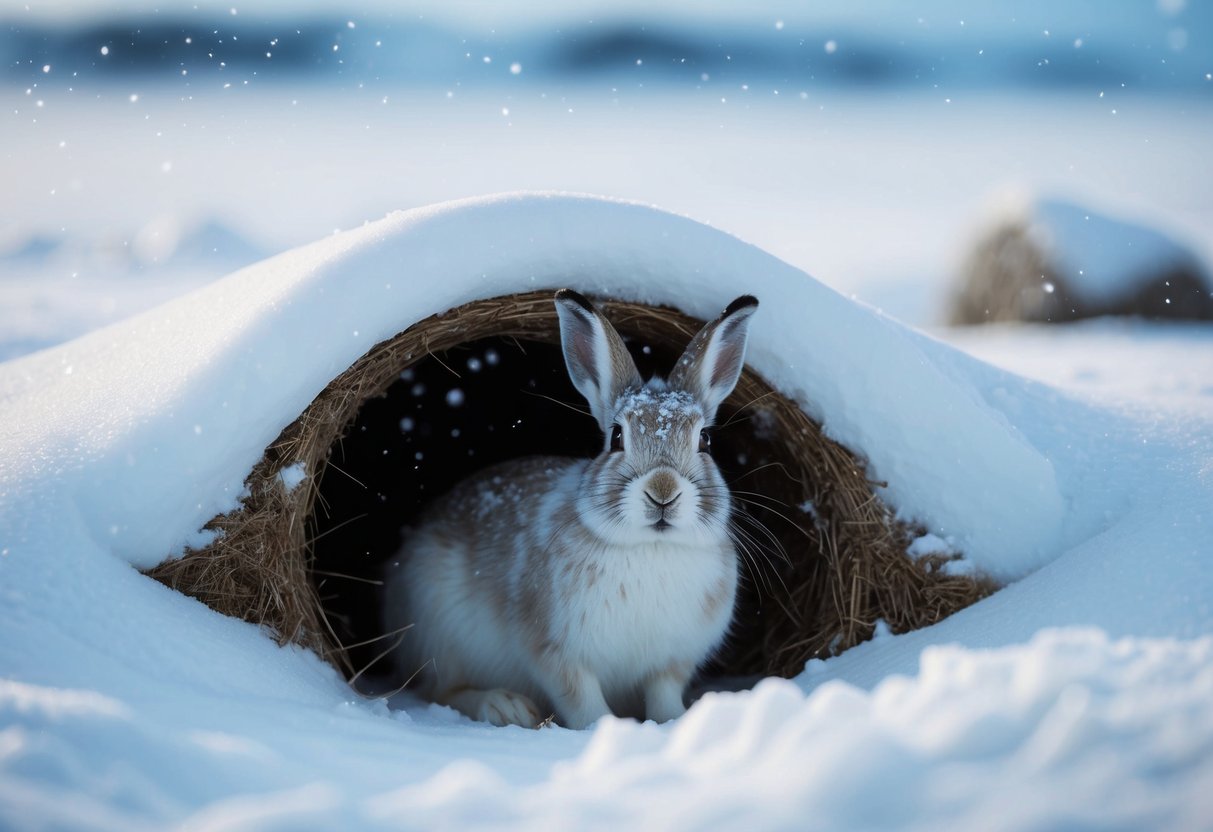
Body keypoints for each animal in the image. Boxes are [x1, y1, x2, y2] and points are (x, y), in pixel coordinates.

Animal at [382, 288, 759, 729]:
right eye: (616, 437)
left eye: (705, 442)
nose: (662, 491)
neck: (651, 546)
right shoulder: (554, 652)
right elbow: (581, 699)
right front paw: (601, 728)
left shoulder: (670, 662)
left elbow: (663, 694)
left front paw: (674, 722)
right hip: (437, 632)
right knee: (441, 691)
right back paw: (505, 707)